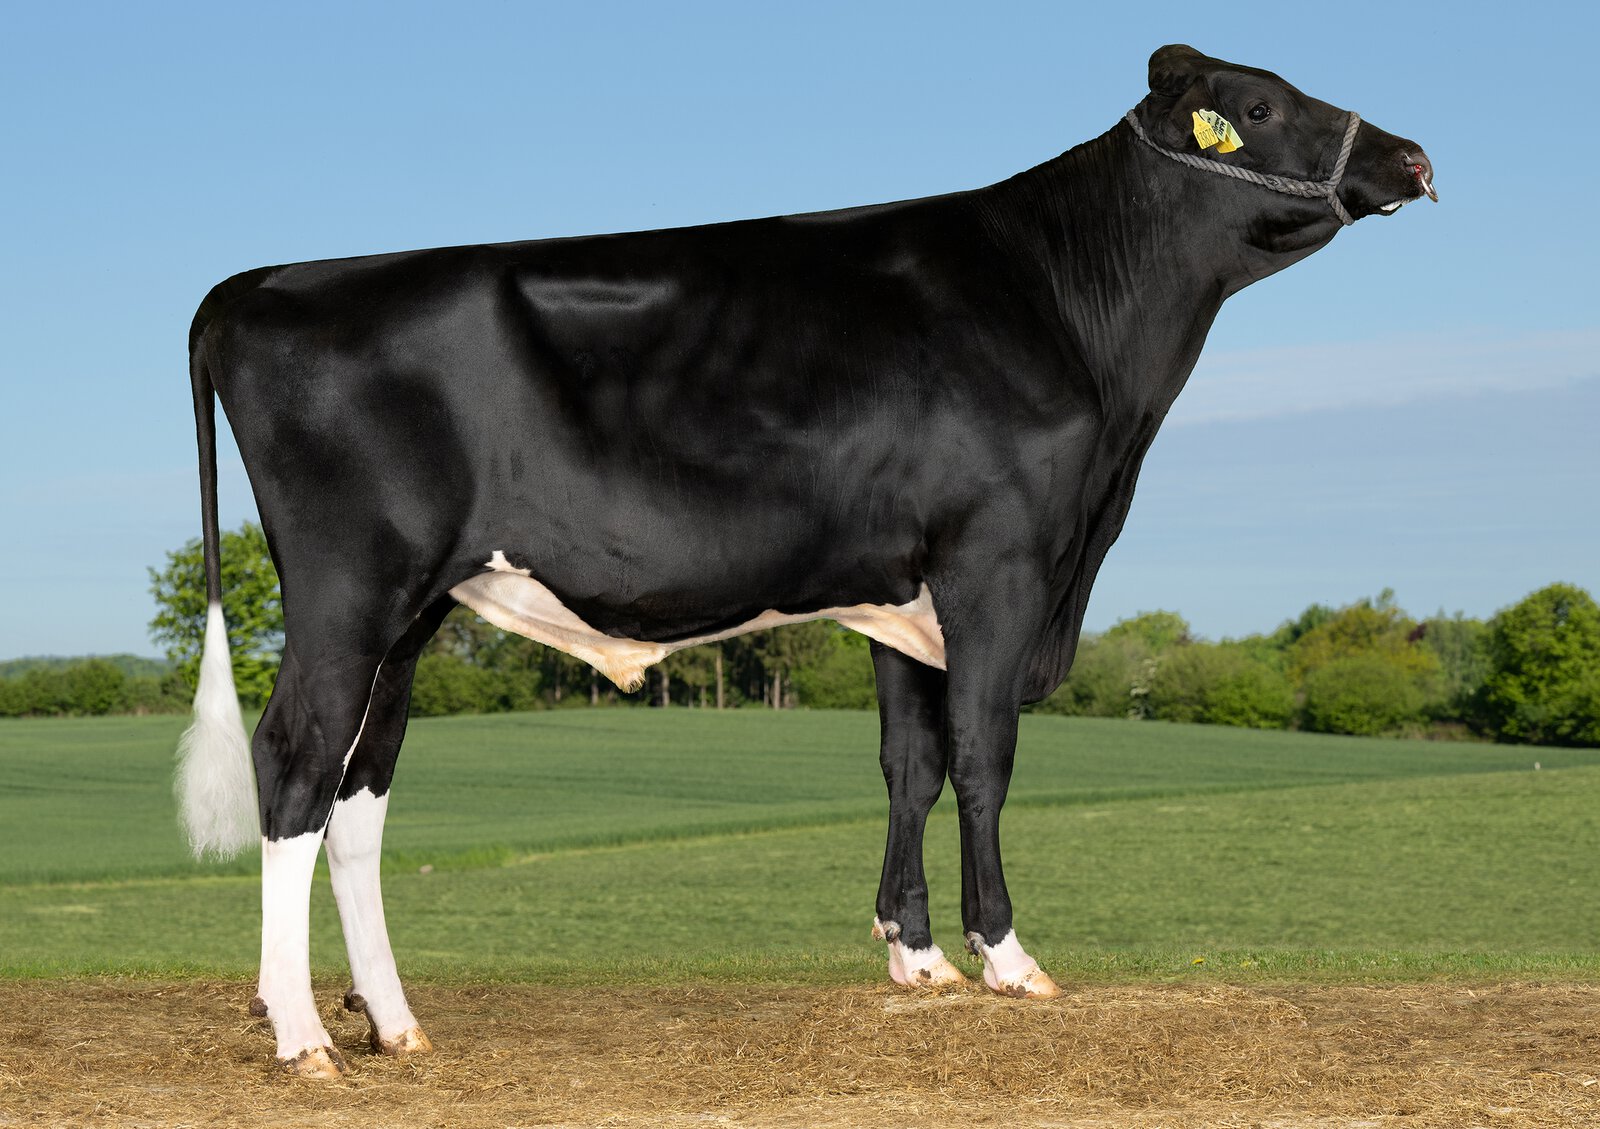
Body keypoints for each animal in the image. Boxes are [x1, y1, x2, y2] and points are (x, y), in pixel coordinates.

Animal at [177, 44, 1434, 1076]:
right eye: (1260, 106)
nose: (1413, 156)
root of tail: (263, 282)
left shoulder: (902, 590)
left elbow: (908, 766)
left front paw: (915, 959)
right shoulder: (997, 561)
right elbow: (983, 760)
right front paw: (1005, 955)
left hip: (414, 609)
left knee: (361, 787)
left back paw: (393, 1023)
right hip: (348, 587)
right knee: (294, 761)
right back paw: (300, 1037)